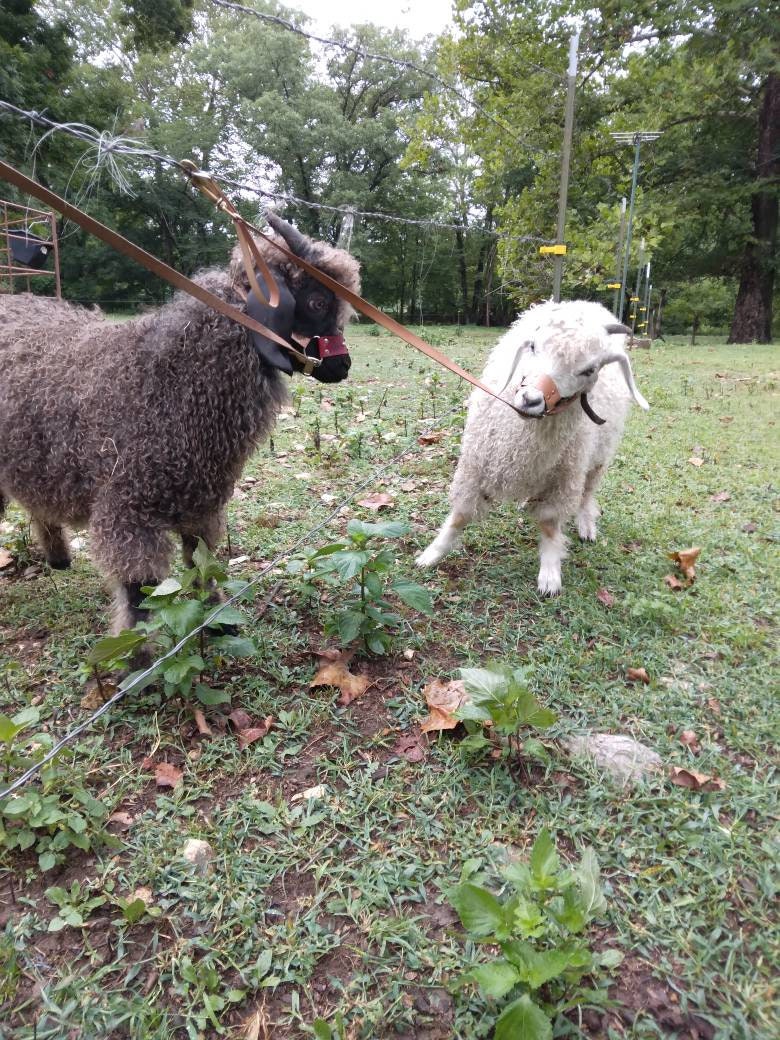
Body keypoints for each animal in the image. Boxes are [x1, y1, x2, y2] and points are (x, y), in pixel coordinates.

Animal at [0, 215, 359, 628]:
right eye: (317, 301)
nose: (341, 366)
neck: (164, 377)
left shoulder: (201, 501)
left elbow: (201, 564)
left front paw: (216, 622)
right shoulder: (126, 510)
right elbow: (140, 597)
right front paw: (141, 647)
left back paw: (58, 557)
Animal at [418, 299, 648, 594]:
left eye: (589, 370)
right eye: (533, 347)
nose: (530, 399)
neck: (523, 441)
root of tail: (588, 303)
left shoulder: (564, 477)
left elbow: (549, 524)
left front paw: (550, 574)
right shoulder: (475, 464)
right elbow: (461, 514)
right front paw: (432, 554)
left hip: (598, 455)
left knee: (587, 492)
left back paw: (586, 525)